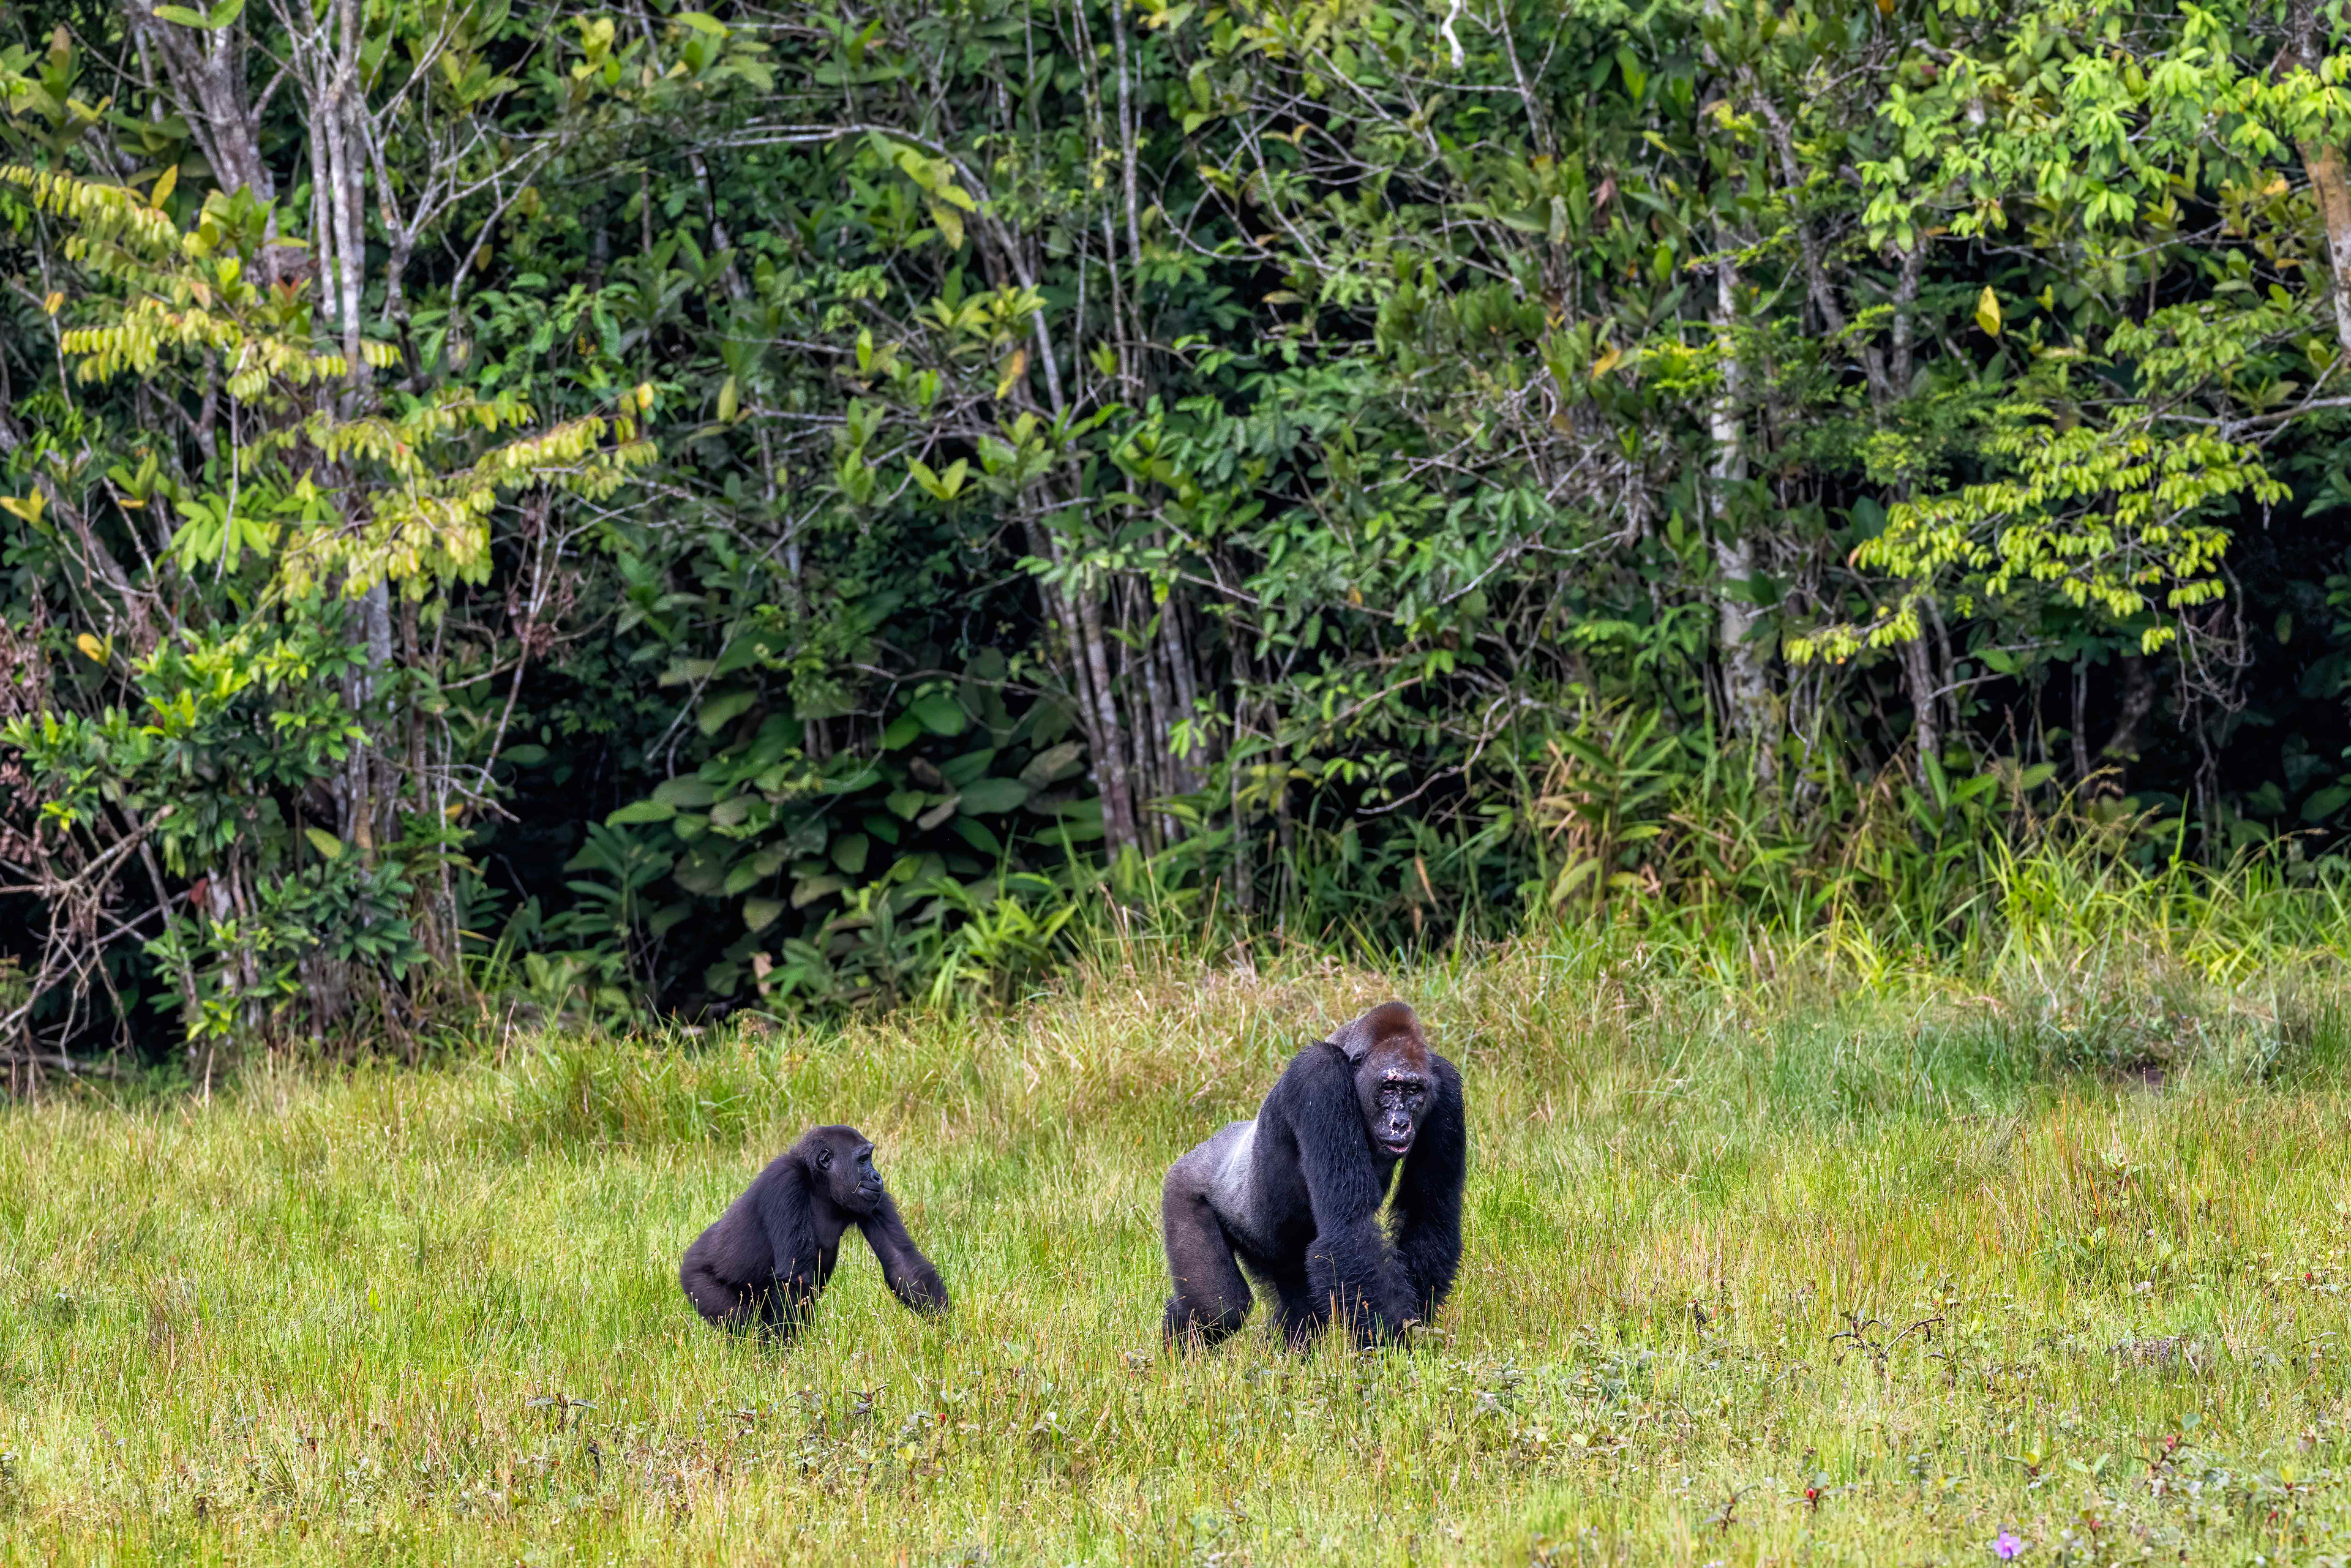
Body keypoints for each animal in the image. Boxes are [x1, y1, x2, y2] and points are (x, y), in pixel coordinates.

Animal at [679, 1124, 948, 1338]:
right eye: (863, 1160)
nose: (877, 1177)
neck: (819, 1183)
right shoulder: (786, 1182)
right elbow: (794, 1280)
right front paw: (789, 1358)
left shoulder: (872, 1197)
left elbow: (902, 1263)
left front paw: (947, 1333)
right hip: (696, 1281)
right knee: (738, 1320)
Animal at [1160, 1001, 1465, 1351]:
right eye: (1389, 1087)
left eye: (1414, 1090)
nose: (1400, 1124)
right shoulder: (1320, 1079)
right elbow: (1350, 1227)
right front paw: (1391, 1345)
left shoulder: (1445, 1088)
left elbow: (1428, 1217)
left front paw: (1414, 1330)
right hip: (1183, 1187)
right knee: (1219, 1309)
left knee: (1297, 1307)